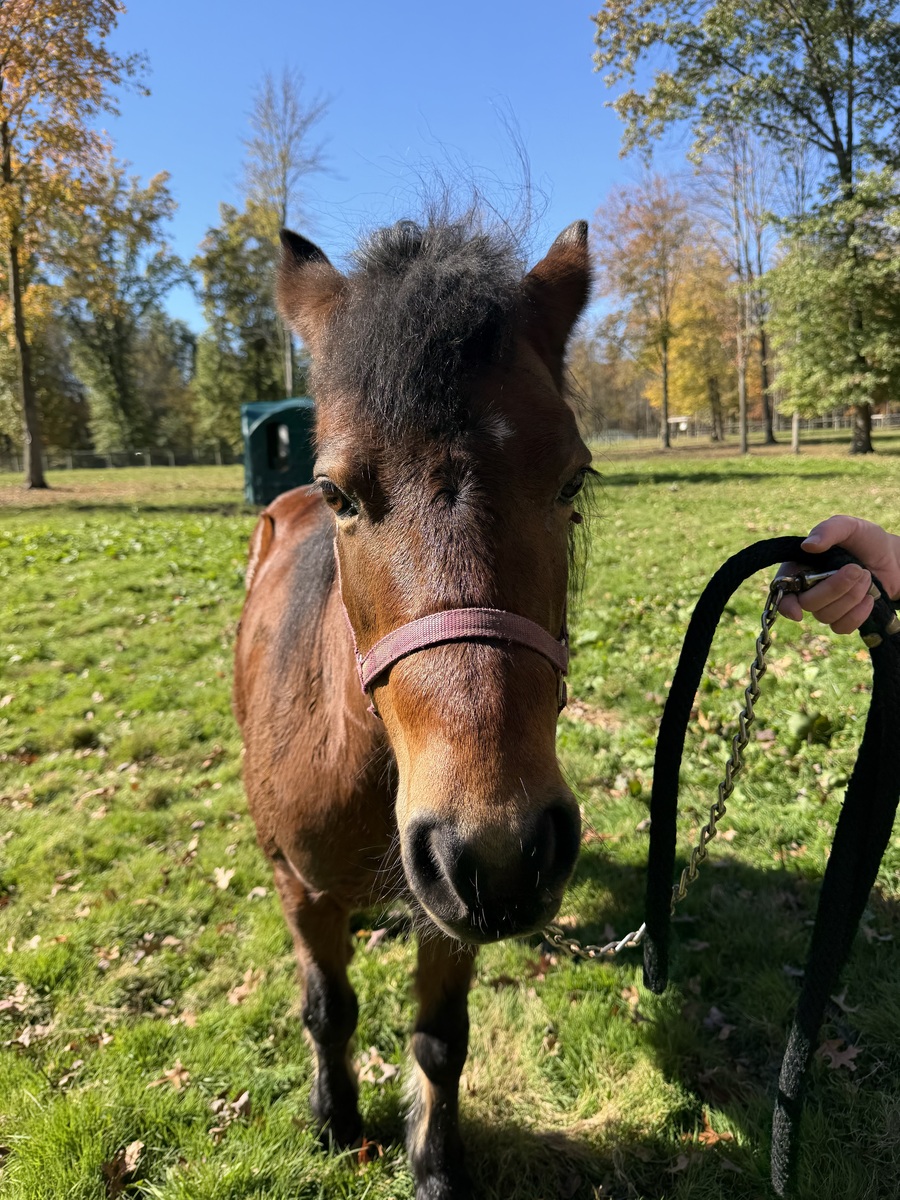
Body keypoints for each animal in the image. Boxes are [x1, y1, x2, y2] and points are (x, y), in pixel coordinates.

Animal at [233, 212, 592, 1199]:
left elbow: (439, 1039)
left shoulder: (452, 904)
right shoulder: (298, 885)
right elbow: (327, 1008)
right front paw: (335, 1121)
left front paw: (433, 1163)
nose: (503, 850)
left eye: (573, 481)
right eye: (339, 494)